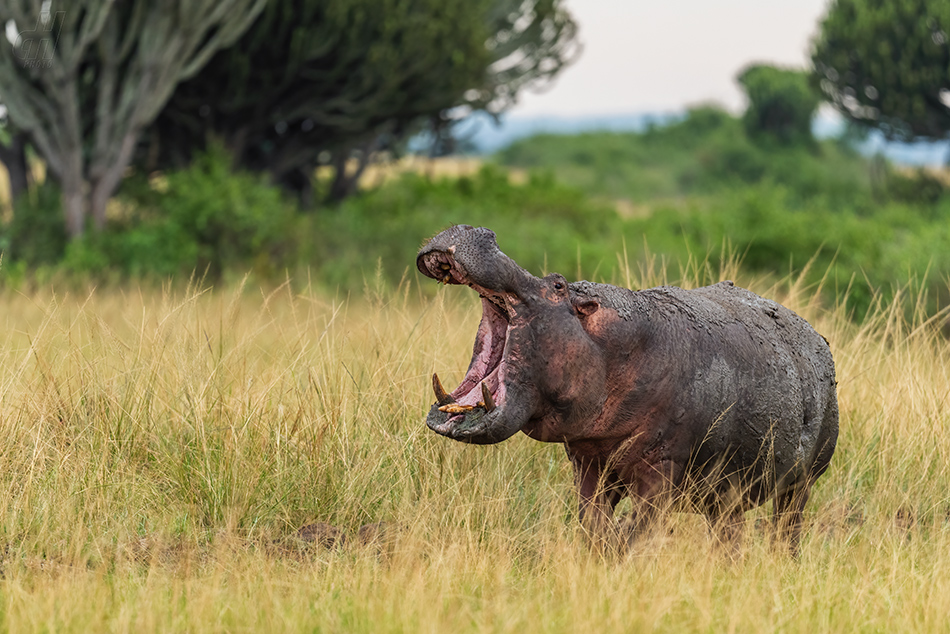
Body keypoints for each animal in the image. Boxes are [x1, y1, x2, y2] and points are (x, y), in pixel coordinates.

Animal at [417, 225, 838, 550]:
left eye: (557, 284)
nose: (477, 230)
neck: (610, 345)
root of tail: (817, 337)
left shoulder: (662, 468)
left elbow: (635, 530)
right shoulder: (588, 460)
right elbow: (591, 524)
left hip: (801, 483)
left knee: (788, 529)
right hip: (727, 497)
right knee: (728, 535)